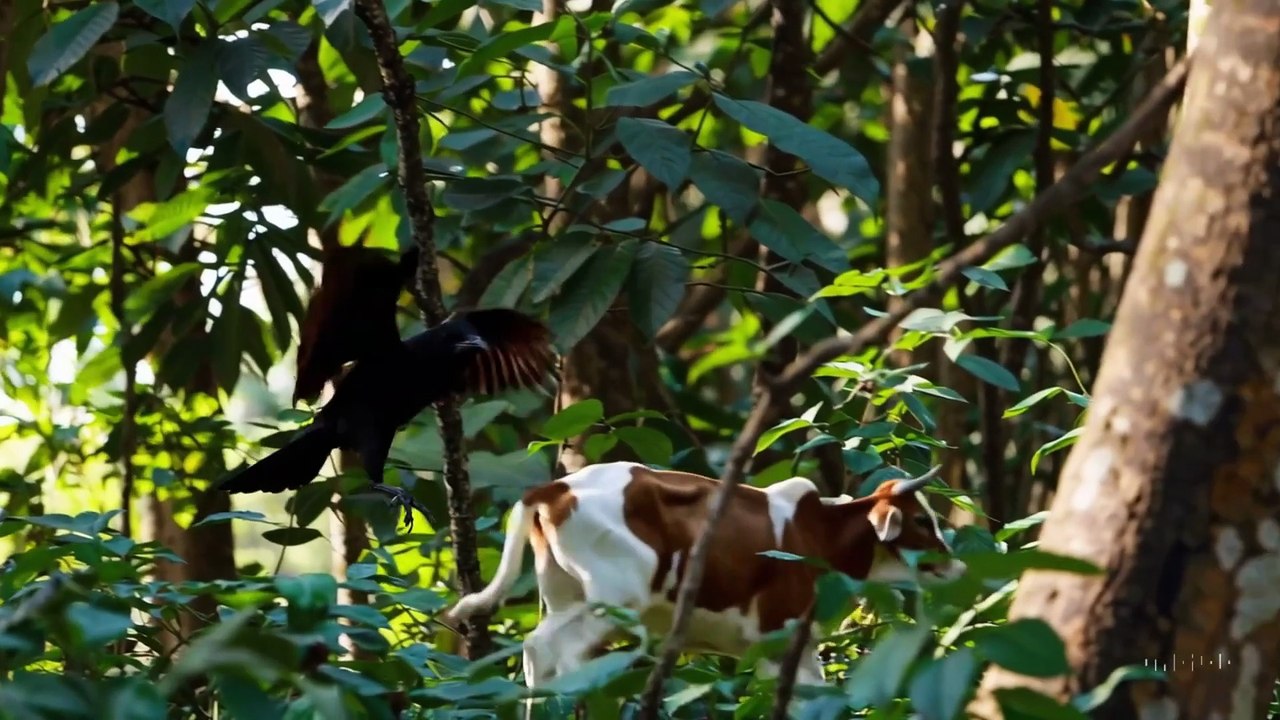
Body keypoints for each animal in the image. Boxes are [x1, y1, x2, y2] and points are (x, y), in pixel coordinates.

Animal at [443, 461, 965, 702]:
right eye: (923, 521)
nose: (957, 567)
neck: (820, 536)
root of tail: (555, 488)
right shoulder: (778, 633)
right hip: (618, 598)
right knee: (569, 657)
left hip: (564, 595)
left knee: (538, 649)